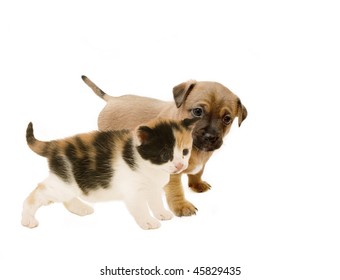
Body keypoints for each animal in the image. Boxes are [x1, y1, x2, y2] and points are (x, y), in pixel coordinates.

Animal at [21, 117, 198, 229]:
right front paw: (148, 221)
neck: (151, 168)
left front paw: (161, 213)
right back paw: (27, 219)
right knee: (37, 192)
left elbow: (156, 202)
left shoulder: (153, 187)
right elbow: (140, 207)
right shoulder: (133, 191)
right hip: (63, 183)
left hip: (67, 183)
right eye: (165, 155)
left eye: (185, 151)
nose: (180, 165)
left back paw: (80, 208)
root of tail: (56, 144)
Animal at [82, 76, 247, 217]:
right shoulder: (171, 171)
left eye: (227, 119)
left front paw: (197, 184)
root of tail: (112, 99)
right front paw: (181, 206)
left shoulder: (201, 162)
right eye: (198, 111)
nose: (210, 137)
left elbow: (198, 172)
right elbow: (176, 190)